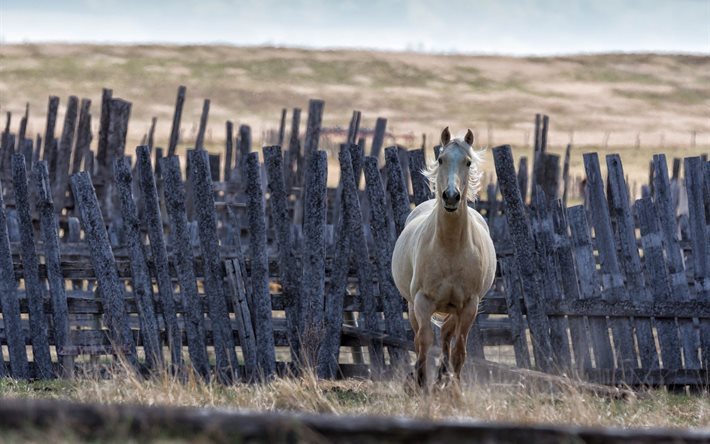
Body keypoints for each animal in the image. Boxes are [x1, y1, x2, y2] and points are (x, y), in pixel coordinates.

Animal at [392, 126, 498, 390]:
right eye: (441, 159)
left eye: (468, 162)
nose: (451, 196)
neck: (449, 248)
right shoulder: (422, 301)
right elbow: (423, 341)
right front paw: (420, 383)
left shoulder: (469, 305)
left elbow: (459, 348)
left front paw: (454, 387)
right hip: (412, 305)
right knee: (420, 336)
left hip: (453, 308)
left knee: (448, 335)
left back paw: (442, 377)